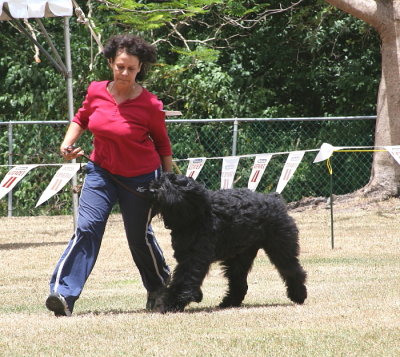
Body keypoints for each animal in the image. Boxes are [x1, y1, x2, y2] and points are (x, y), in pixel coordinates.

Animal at [148, 172, 308, 312]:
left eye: (172, 183)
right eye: (160, 181)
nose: (153, 190)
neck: (196, 216)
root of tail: (275, 198)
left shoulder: (194, 257)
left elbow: (185, 278)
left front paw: (174, 302)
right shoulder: (185, 255)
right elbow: (184, 277)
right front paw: (192, 296)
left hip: (280, 247)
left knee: (292, 269)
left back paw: (299, 295)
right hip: (240, 256)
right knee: (238, 282)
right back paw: (229, 301)